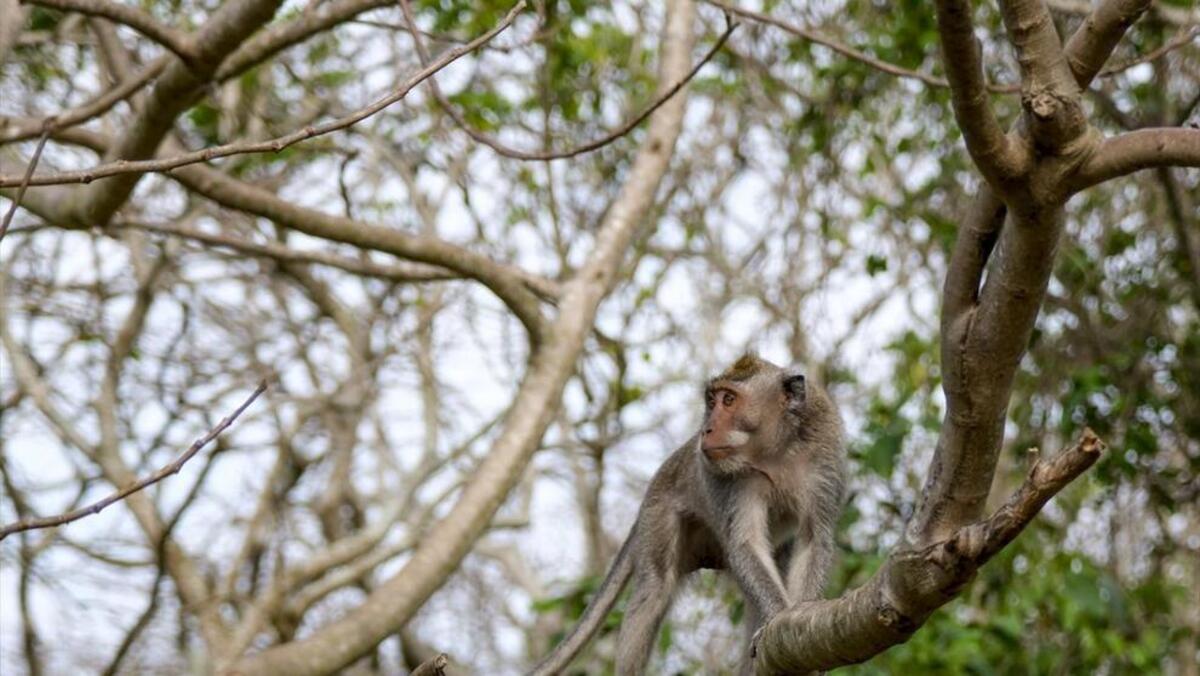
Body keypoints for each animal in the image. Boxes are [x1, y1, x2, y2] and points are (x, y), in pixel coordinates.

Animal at [530, 355, 849, 676]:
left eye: (729, 400)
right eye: (711, 400)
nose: (706, 429)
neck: (774, 452)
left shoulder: (823, 457)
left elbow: (812, 537)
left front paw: (799, 621)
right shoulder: (731, 480)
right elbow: (746, 543)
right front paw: (776, 617)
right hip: (660, 512)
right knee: (654, 590)